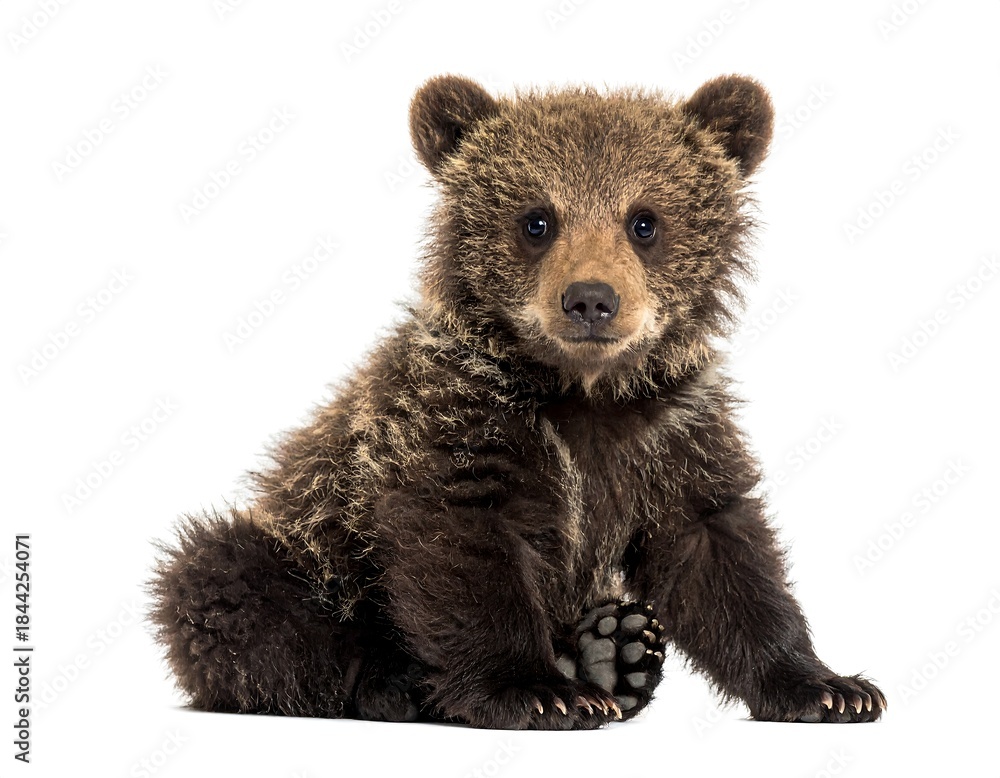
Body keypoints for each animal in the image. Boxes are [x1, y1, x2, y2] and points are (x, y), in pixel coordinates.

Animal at [148, 74, 886, 730]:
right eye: (538, 220)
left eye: (644, 221)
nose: (590, 298)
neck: (581, 395)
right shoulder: (458, 429)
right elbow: (465, 557)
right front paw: (537, 692)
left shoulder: (672, 437)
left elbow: (723, 558)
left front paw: (826, 687)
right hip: (304, 549)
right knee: (233, 590)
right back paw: (400, 683)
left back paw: (614, 648)